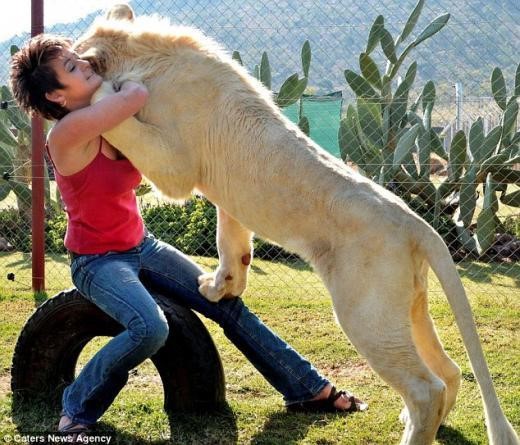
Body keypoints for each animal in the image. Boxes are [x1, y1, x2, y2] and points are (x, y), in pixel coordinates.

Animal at [74, 4, 520, 444]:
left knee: (427, 388)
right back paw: (414, 419)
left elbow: (127, 125)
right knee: (449, 372)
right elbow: (229, 242)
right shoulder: (228, 197)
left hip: (366, 314)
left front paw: (102, 94)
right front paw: (220, 288)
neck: (145, 53)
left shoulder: (176, 166)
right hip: (410, 307)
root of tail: (417, 224)